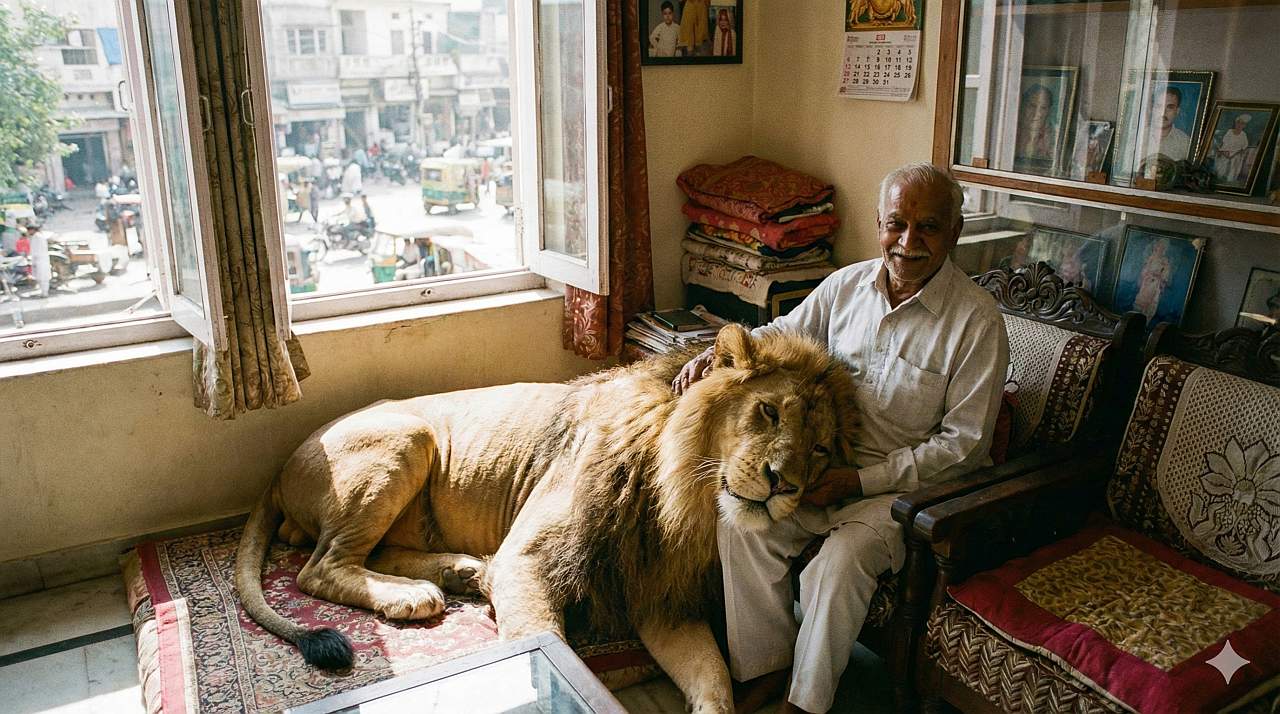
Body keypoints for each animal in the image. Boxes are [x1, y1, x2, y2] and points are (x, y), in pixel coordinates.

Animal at [234, 323, 858, 712]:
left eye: (821, 449)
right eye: (768, 411)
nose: (785, 484)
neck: (688, 501)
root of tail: (280, 467)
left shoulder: (659, 597)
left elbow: (717, 680)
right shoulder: (528, 560)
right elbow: (540, 639)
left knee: (369, 553)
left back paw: (458, 573)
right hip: (408, 437)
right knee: (318, 567)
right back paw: (414, 595)